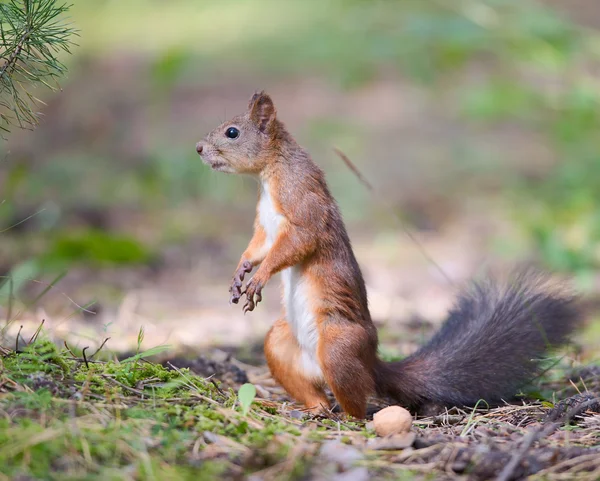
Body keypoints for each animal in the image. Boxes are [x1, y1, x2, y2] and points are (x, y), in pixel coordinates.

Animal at [197, 90, 580, 416]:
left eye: (232, 132)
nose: (199, 148)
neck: (269, 175)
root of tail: (372, 363)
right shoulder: (265, 226)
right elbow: (258, 246)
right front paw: (240, 271)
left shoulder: (303, 203)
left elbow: (296, 244)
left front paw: (259, 278)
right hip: (279, 345)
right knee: (316, 392)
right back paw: (309, 409)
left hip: (337, 345)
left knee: (357, 401)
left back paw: (347, 417)